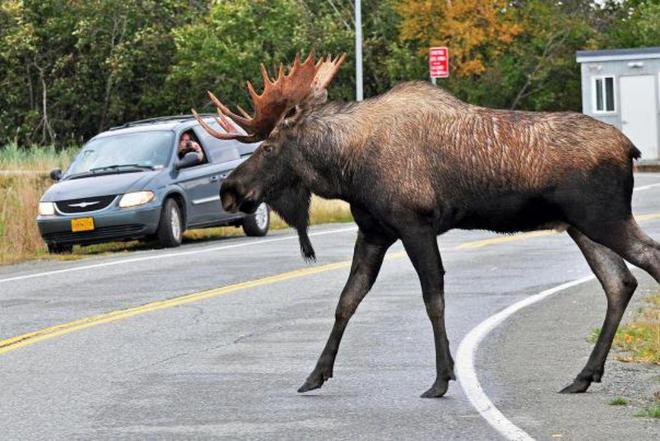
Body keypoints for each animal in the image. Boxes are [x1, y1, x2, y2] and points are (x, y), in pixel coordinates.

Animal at [193, 52, 660, 398]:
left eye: (269, 146)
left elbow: (432, 296)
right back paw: (583, 376)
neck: (347, 170)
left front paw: (440, 378)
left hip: (604, 217)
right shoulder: (374, 231)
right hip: (581, 225)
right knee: (619, 282)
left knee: (648, 260)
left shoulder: (414, 223)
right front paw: (314, 375)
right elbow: (347, 299)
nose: (230, 190)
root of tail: (631, 148)